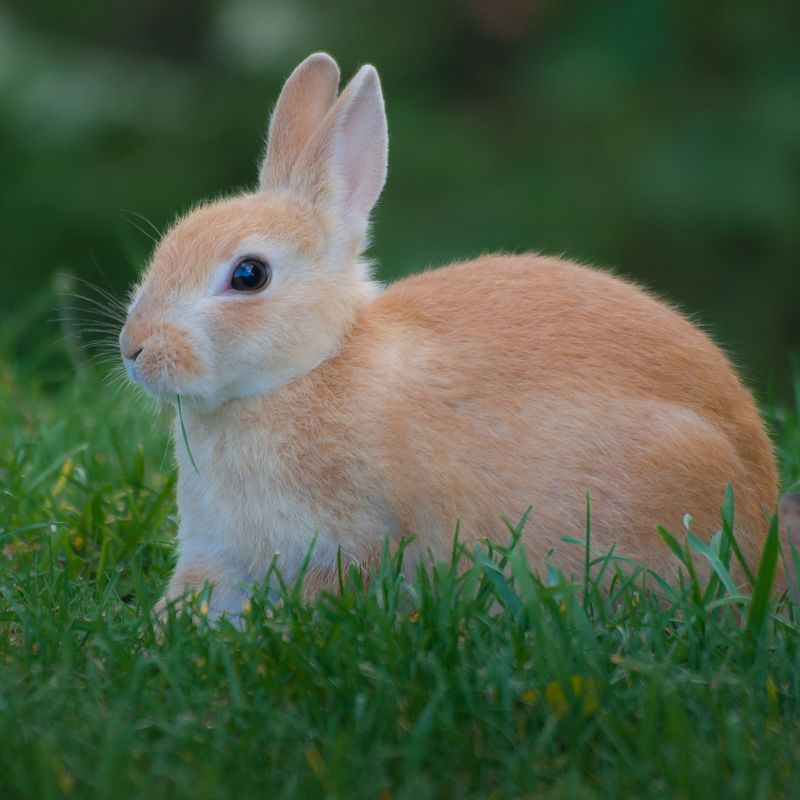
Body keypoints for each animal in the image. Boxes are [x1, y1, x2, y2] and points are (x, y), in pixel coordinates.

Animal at [119, 53, 779, 618]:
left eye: (248, 275)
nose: (134, 349)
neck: (311, 367)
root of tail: (762, 499)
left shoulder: (345, 543)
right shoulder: (218, 553)